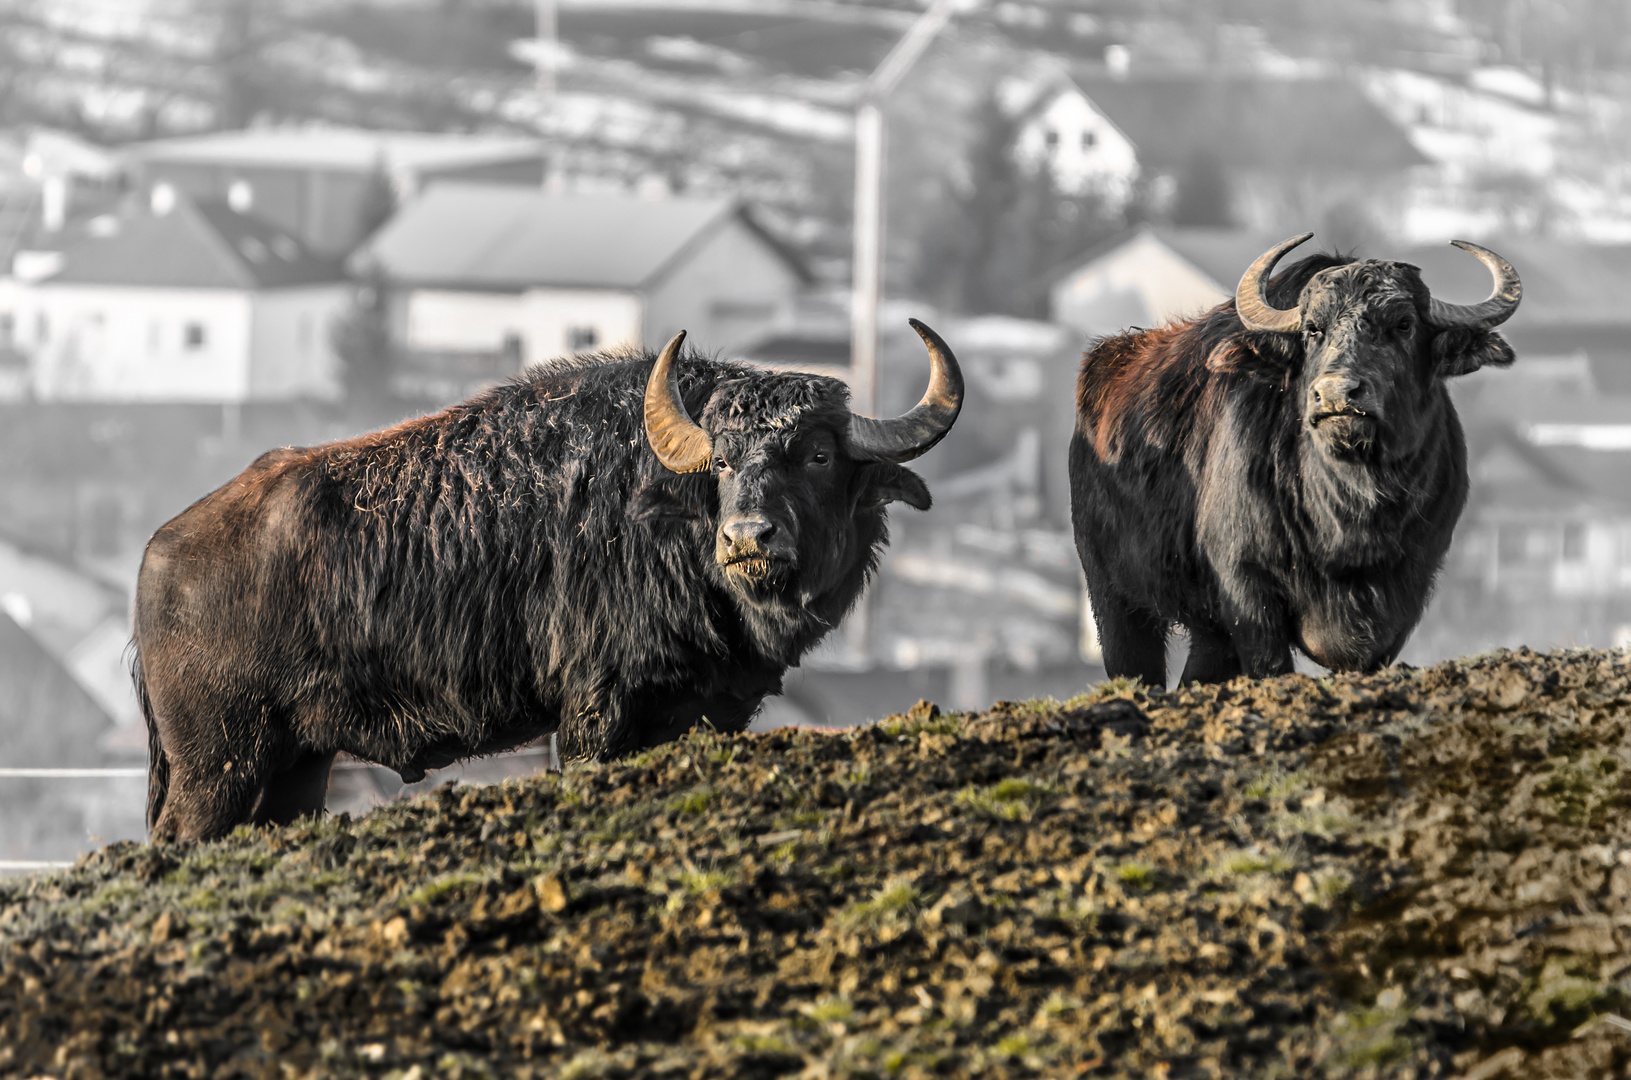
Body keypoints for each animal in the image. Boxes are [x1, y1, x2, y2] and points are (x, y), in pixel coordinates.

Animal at [140, 321, 959, 848]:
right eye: (722, 461)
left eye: (819, 455)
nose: (747, 539)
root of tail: (160, 555)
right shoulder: (596, 713)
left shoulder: (710, 712)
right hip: (218, 765)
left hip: (295, 767)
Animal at [1069, 241, 1513, 688]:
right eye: (1313, 329)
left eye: (1403, 324)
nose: (1336, 393)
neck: (1350, 510)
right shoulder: (1247, 589)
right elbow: (1269, 665)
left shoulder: (1405, 595)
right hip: (1112, 598)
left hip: (1209, 636)